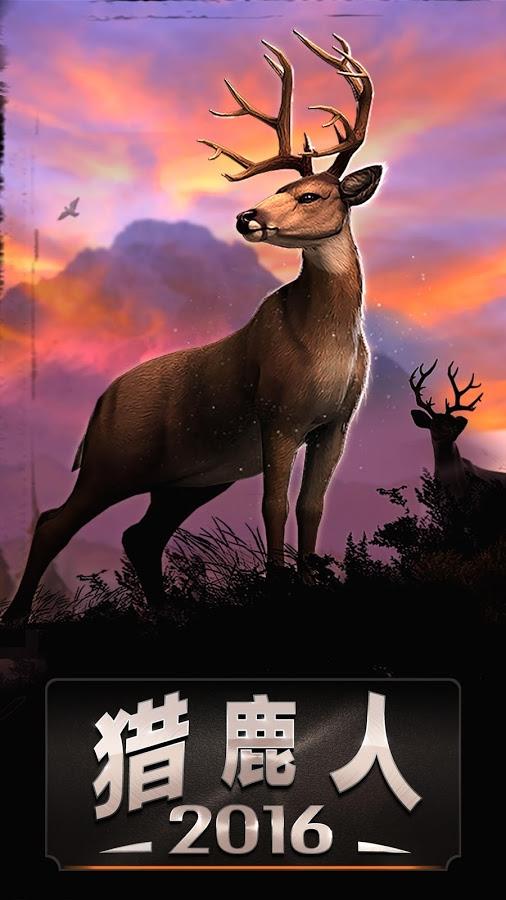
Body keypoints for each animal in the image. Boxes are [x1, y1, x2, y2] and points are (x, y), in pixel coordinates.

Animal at [2, 30, 383, 625]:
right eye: (281, 192)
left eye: (309, 195)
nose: (247, 217)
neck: (327, 346)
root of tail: (99, 407)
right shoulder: (276, 414)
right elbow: (274, 504)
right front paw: (277, 590)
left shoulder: (334, 423)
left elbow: (311, 505)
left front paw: (306, 585)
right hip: (113, 461)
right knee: (53, 522)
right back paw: (16, 616)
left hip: (189, 478)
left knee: (139, 535)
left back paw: (165, 613)